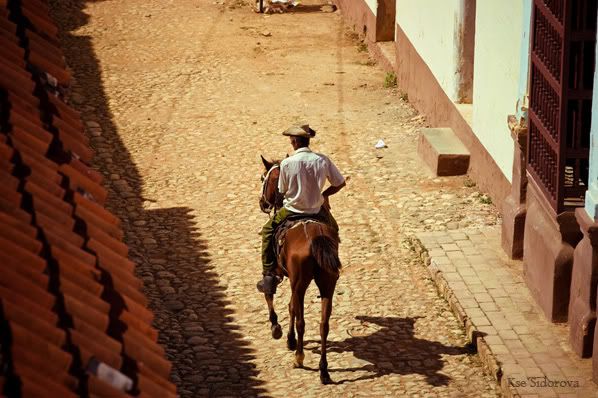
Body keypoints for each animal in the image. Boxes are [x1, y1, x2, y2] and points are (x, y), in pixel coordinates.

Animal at [258, 156, 342, 386]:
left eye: (263, 178)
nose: (262, 203)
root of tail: (316, 237)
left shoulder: (280, 274)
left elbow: (271, 295)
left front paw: (277, 329)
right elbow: (291, 307)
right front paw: (289, 338)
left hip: (300, 284)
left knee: (302, 321)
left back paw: (299, 358)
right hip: (326, 284)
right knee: (323, 324)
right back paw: (323, 370)